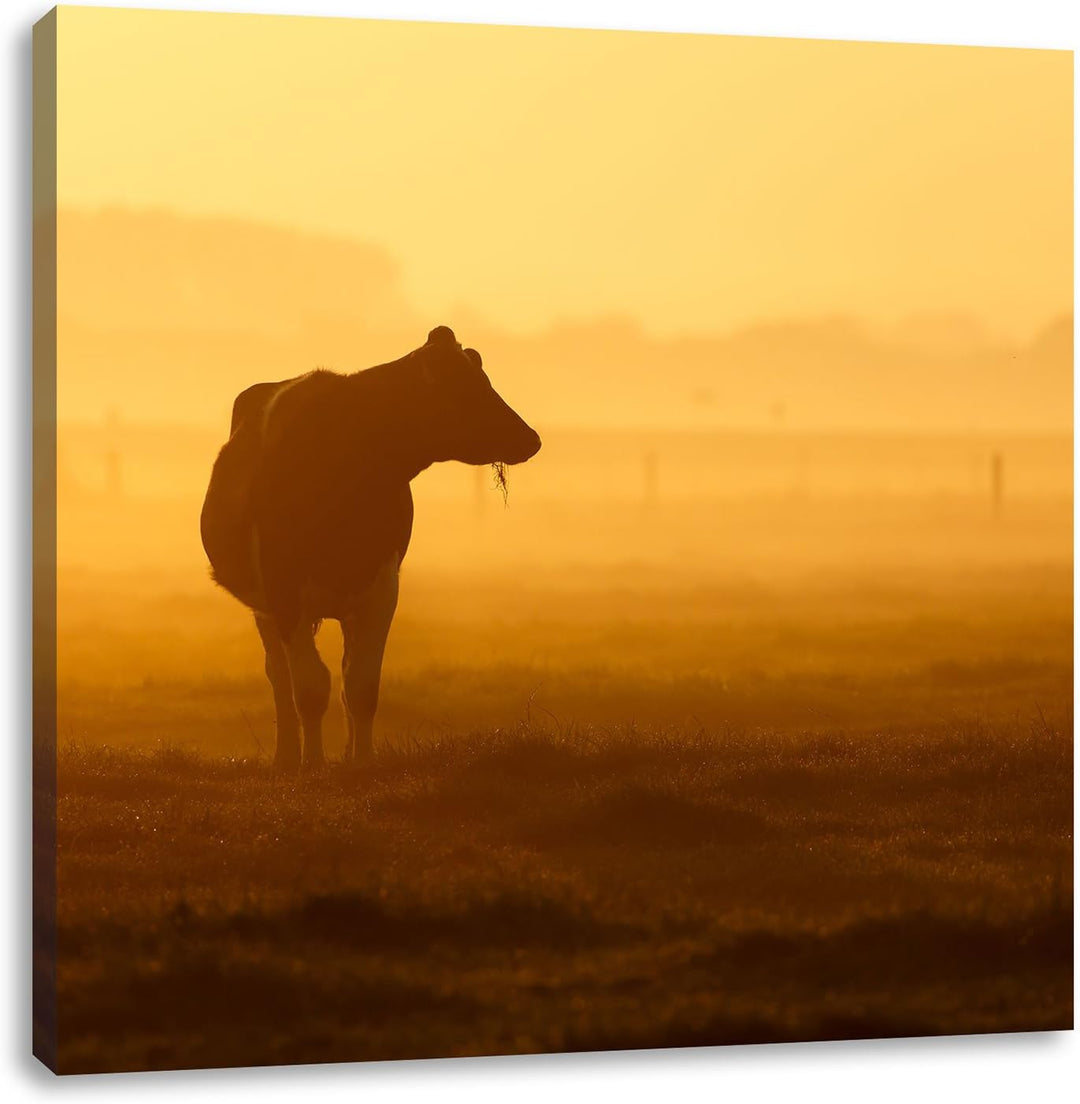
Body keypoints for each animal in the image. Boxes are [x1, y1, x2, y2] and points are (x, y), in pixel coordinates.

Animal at [200, 326, 541, 771]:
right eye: (466, 387)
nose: (530, 439)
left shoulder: (381, 586)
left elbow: (361, 685)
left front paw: (361, 762)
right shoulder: (284, 591)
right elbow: (309, 687)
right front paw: (313, 764)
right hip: (265, 608)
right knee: (279, 676)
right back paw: (287, 756)